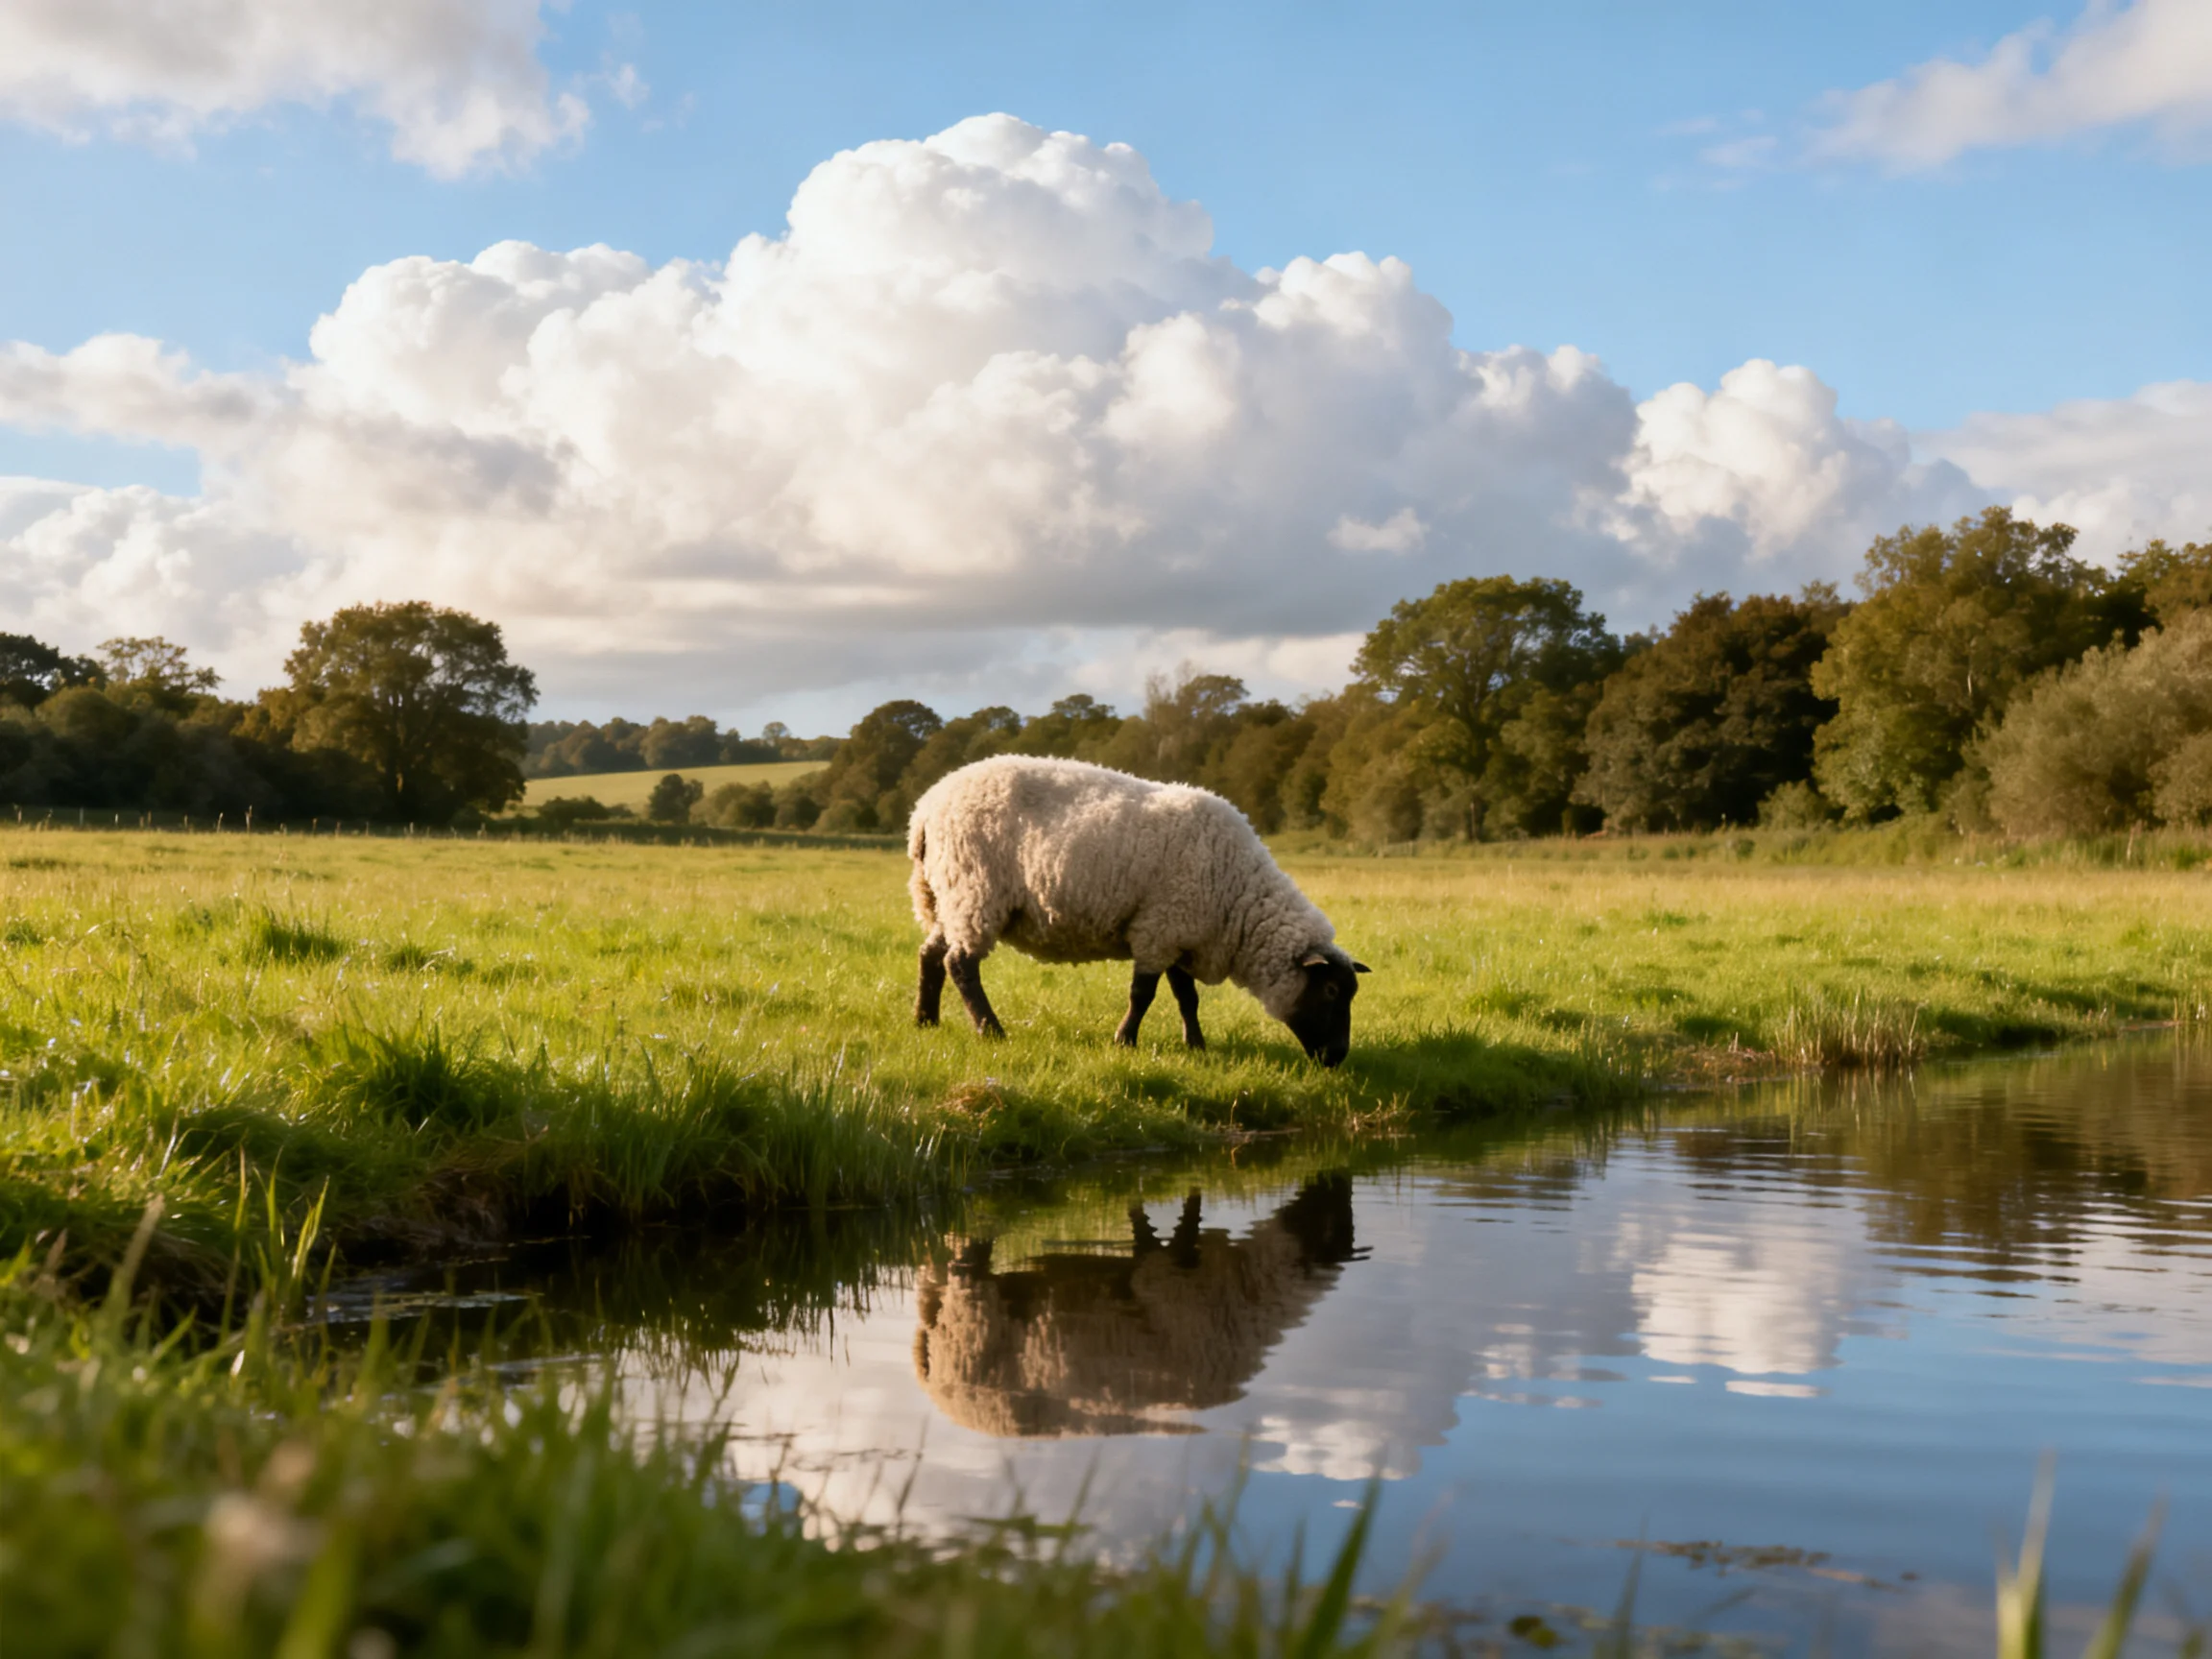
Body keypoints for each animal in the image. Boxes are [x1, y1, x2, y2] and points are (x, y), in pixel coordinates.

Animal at [907, 756, 1369, 1065]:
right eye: (1331, 990)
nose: (1338, 1057)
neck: (1238, 898)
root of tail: (925, 808)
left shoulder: (1179, 932)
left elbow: (1187, 998)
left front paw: (1195, 1045)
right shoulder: (1158, 930)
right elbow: (1143, 995)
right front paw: (1125, 1041)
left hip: (949, 896)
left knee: (930, 955)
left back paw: (926, 1021)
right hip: (975, 889)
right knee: (961, 965)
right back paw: (991, 1031)